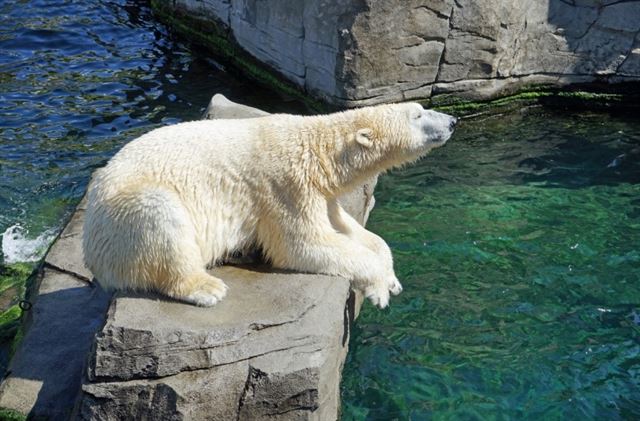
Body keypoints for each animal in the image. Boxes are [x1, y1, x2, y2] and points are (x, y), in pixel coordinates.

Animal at [84, 102, 456, 308]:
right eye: (418, 114)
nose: (453, 121)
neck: (318, 149)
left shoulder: (319, 193)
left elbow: (351, 231)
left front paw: (391, 278)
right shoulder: (285, 186)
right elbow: (302, 245)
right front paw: (379, 289)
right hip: (124, 215)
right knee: (160, 216)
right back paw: (206, 288)